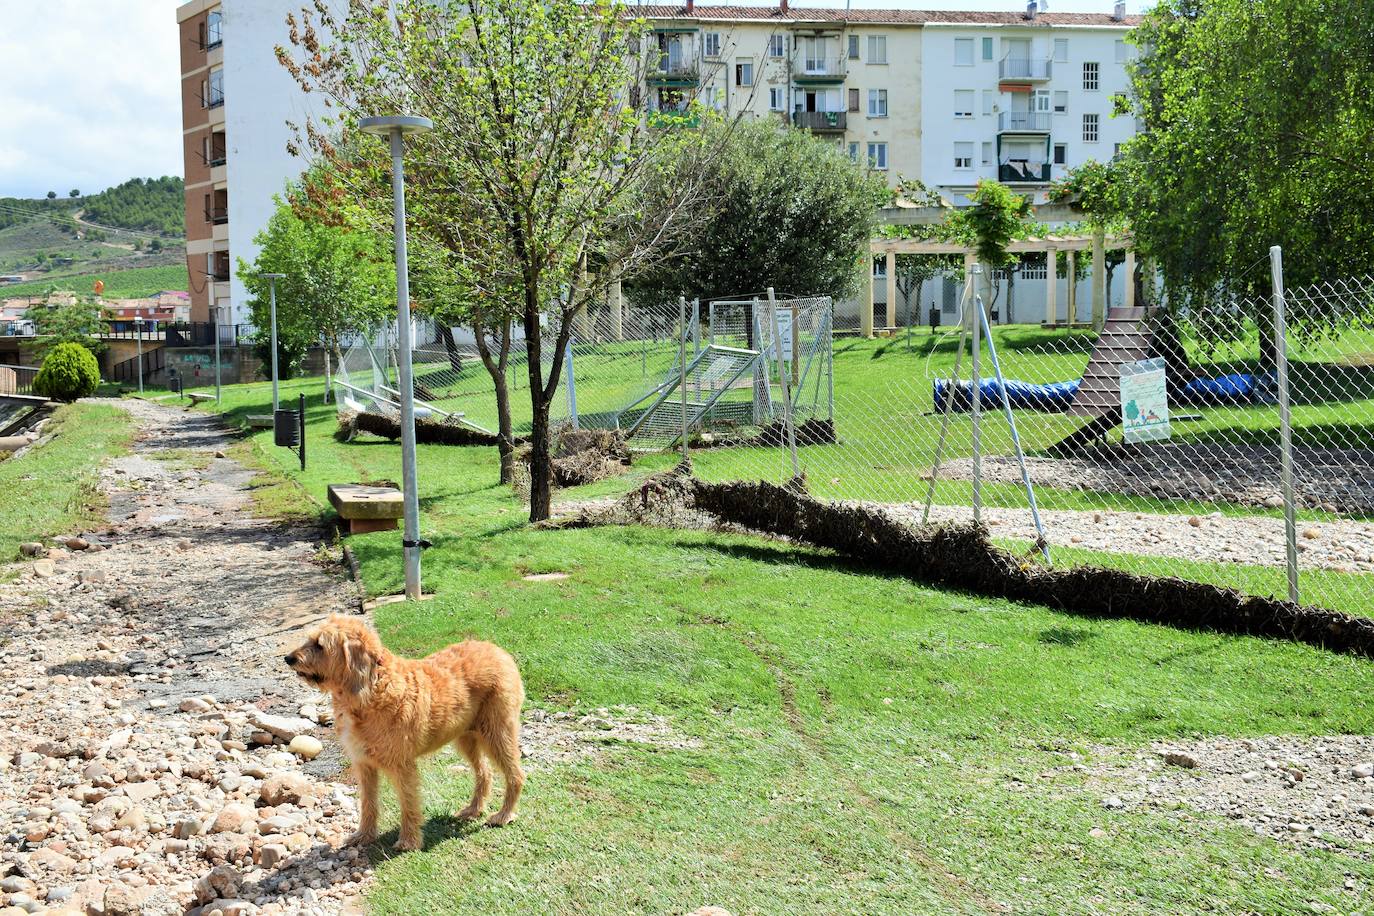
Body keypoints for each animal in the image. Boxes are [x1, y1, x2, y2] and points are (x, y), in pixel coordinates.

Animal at [284, 615, 524, 851]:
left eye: (320, 645)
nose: (288, 658)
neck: (372, 686)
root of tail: (499, 651)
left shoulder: (402, 764)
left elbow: (408, 802)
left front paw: (409, 841)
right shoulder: (364, 764)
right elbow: (368, 803)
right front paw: (363, 836)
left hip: (498, 733)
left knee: (516, 774)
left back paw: (504, 815)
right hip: (467, 737)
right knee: (484, 772)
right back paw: (474, 810)